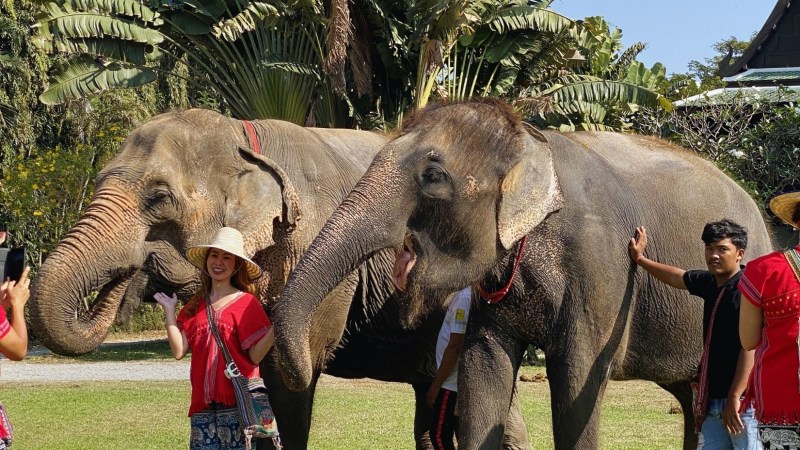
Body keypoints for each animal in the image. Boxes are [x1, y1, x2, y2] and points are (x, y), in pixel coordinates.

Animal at [271, 98, 774, 449]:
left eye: (433, 176)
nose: (316, 359)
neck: (533, 144)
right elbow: (482, 371)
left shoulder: (600, 266)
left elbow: (576, 382)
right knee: (691, 400)